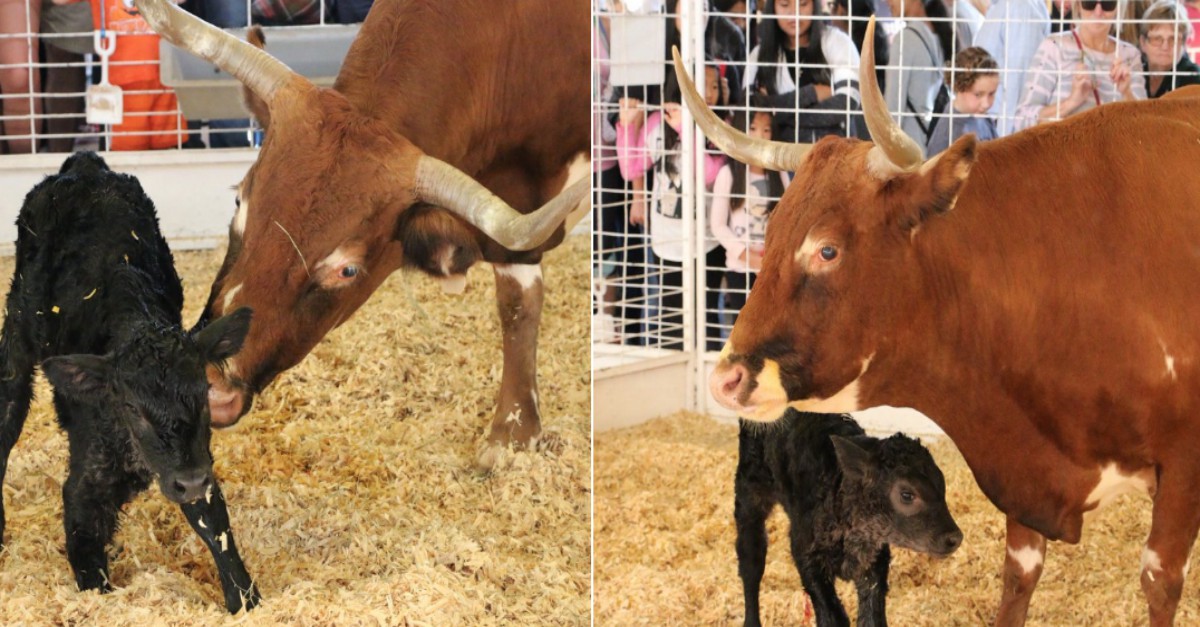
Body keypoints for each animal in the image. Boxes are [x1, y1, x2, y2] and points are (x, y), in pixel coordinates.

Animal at [0, 152, 259, 613]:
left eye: (203, 394)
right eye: (133, 408)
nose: (190, 480)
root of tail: (85, 165)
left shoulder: (196, 462)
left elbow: (218, 530)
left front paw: (247, 599)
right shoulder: (85, 484)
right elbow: (87, 556)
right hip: (18, 321)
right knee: (7, 410)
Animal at [131, 0, 589, 470]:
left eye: (347, 270)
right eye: (240, 203)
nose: (211, 390)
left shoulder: (524, 215)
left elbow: (517, 305)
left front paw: (513, 435)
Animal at [736, 410, 961, 627]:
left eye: (943, 486)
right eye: (907, 495)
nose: (954, 538)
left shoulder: (874, 562)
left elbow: (872, 619)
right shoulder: (805, 553)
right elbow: (833, 618)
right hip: (749, 490)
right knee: (751, 559)